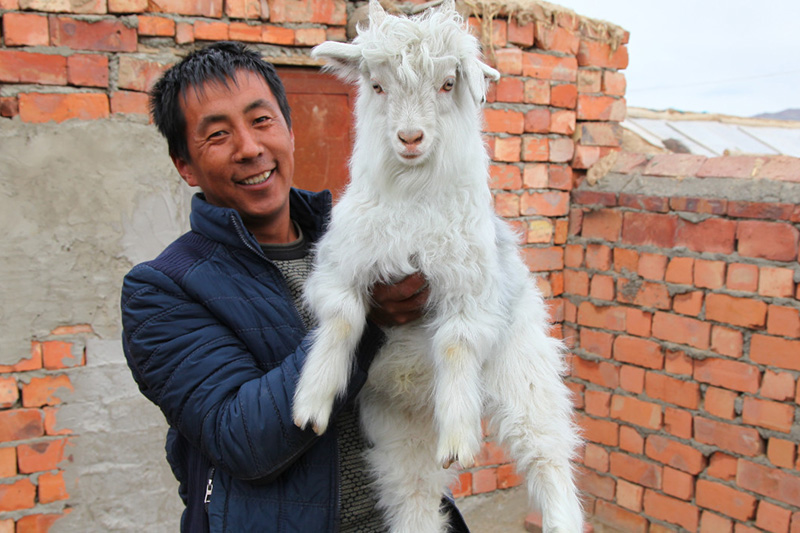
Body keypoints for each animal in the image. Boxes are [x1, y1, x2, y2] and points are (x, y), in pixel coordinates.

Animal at [292, 1, 582, 531]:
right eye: (377, 85)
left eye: (449, 83)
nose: (410, 138)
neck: (412, 201)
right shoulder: (341, 268)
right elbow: (343, 321)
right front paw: (312, 405)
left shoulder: (470, 292)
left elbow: (454, 345)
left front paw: (460, 440)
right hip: (400, 438)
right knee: (416, 500)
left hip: (524, 375)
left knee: (547, 456)